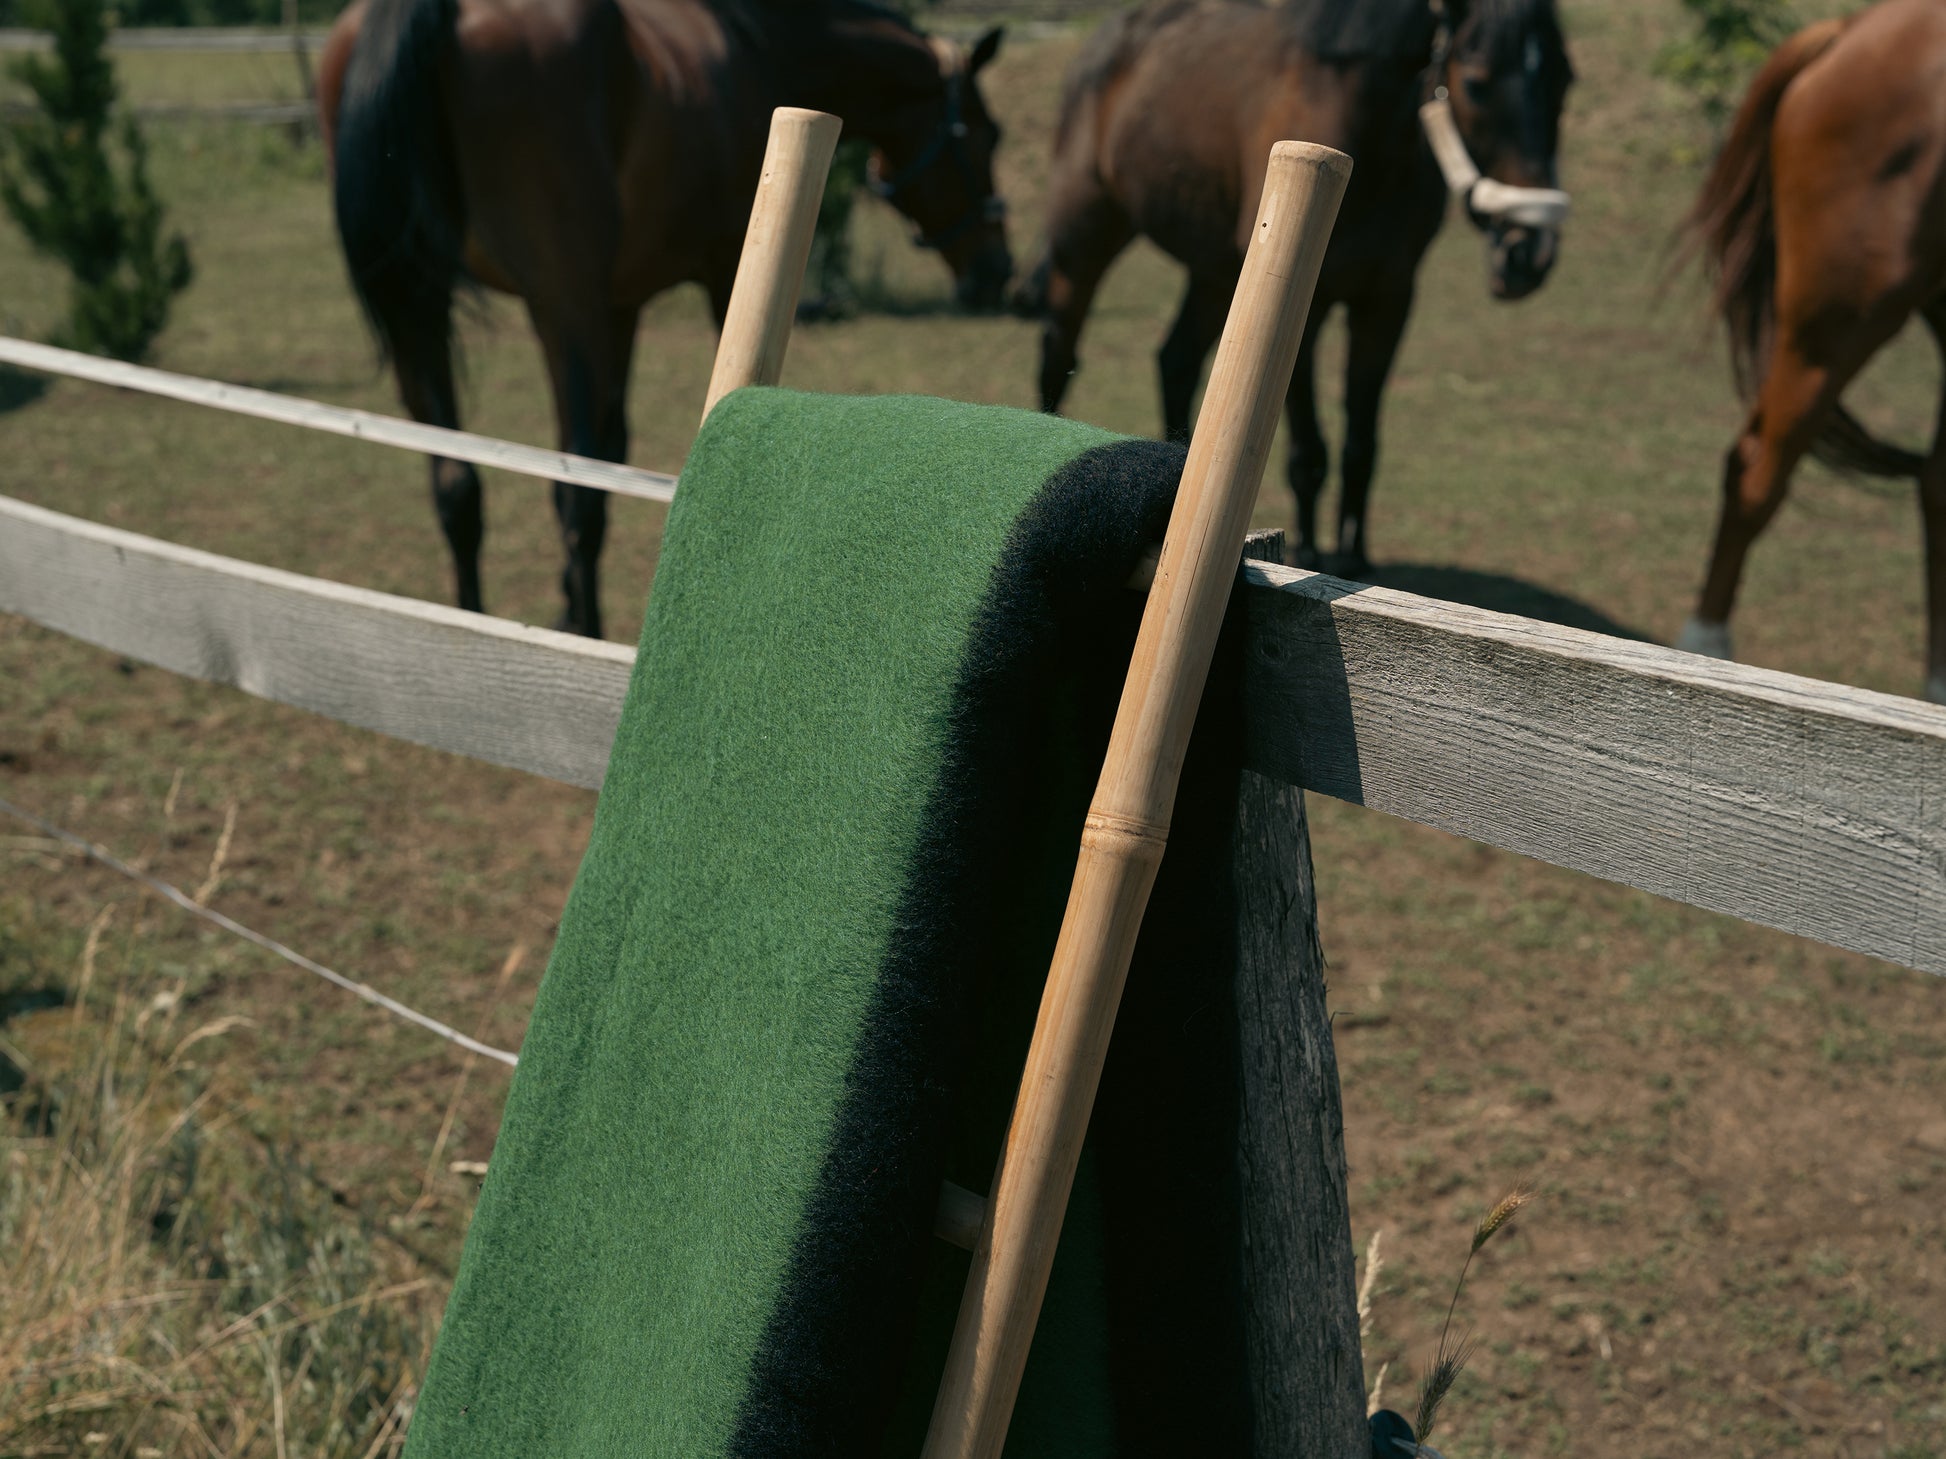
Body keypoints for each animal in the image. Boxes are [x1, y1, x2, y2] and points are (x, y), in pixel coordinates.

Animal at [318, 0, 1011, 639]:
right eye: (988, 132)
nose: (998, 273)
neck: (761, 49)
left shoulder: (621, 306)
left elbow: (612, 452)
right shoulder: (714, 274)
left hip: (420, 302)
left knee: (455, 482)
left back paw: (471, 618)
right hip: (560, 306)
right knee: (568, 492)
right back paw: (583, 630)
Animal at [1019, 0, 1572, 574]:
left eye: (1565, 81)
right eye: (1476, 82)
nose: (1530, 252)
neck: (1369, 135)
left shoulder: (1388, 297)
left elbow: (1360, 443)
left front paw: (1353, 555)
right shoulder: (1310, 307)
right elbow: (1309, 452)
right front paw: (1309, 550)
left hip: (1217, 272)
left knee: (1175, 361)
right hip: (1084, 236)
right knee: (1058, 349)